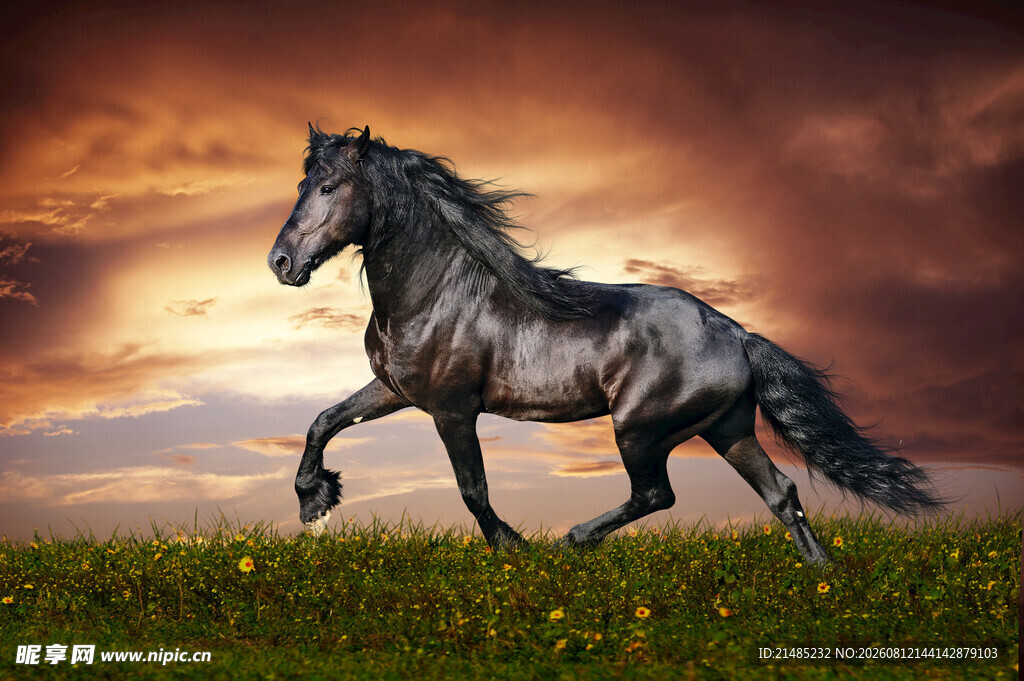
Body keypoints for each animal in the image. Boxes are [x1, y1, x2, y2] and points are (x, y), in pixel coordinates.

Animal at [268, 125, 942, 564]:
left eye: (329, 188)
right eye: (303, 184)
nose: (281, 262)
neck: (436, 291)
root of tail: (737, 334)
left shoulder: (452, 409)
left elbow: (472, 489)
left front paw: (514, 549)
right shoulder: (396, 390)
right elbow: (323, 420)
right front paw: (314, 502)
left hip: (639, 428)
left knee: (657, 494)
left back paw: (571, 540)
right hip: (727, 428)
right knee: (781, 493)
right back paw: (822, 578)